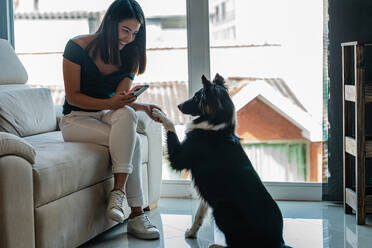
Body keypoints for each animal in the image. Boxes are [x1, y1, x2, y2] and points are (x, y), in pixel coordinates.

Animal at [151, 73, 290, 248]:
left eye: (196, 97)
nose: (178, 105)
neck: (216, 126)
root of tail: (277, 241)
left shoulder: (180, 158)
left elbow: (170, 126)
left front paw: (159, 113)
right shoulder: (207, 192)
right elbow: (199, 214)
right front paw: (191, 233)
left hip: (221, 209)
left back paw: (217, 245)